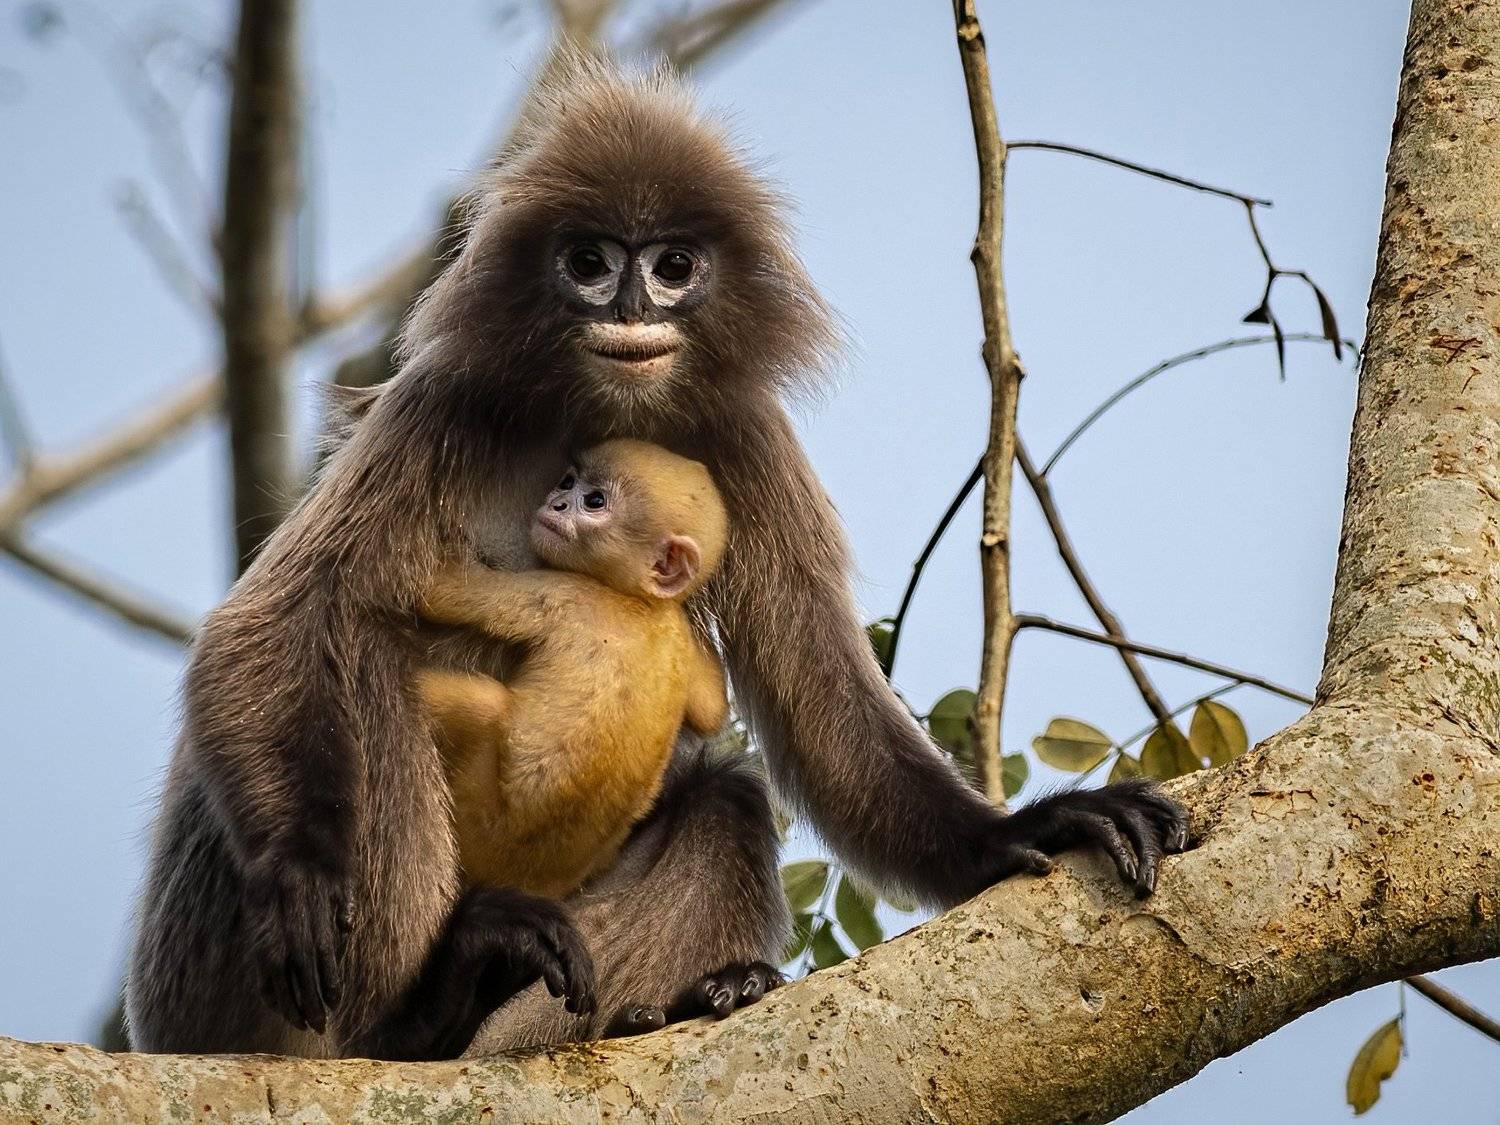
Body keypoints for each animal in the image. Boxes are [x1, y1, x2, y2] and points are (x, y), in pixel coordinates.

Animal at [416, 439, 732, 901]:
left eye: (595, 501)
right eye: (567, 481)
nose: (557, 501)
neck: (636, 600)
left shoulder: (563, 592)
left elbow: (440, 592)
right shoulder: (677, 634)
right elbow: (712, 712)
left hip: (479, 814)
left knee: (477, 705)